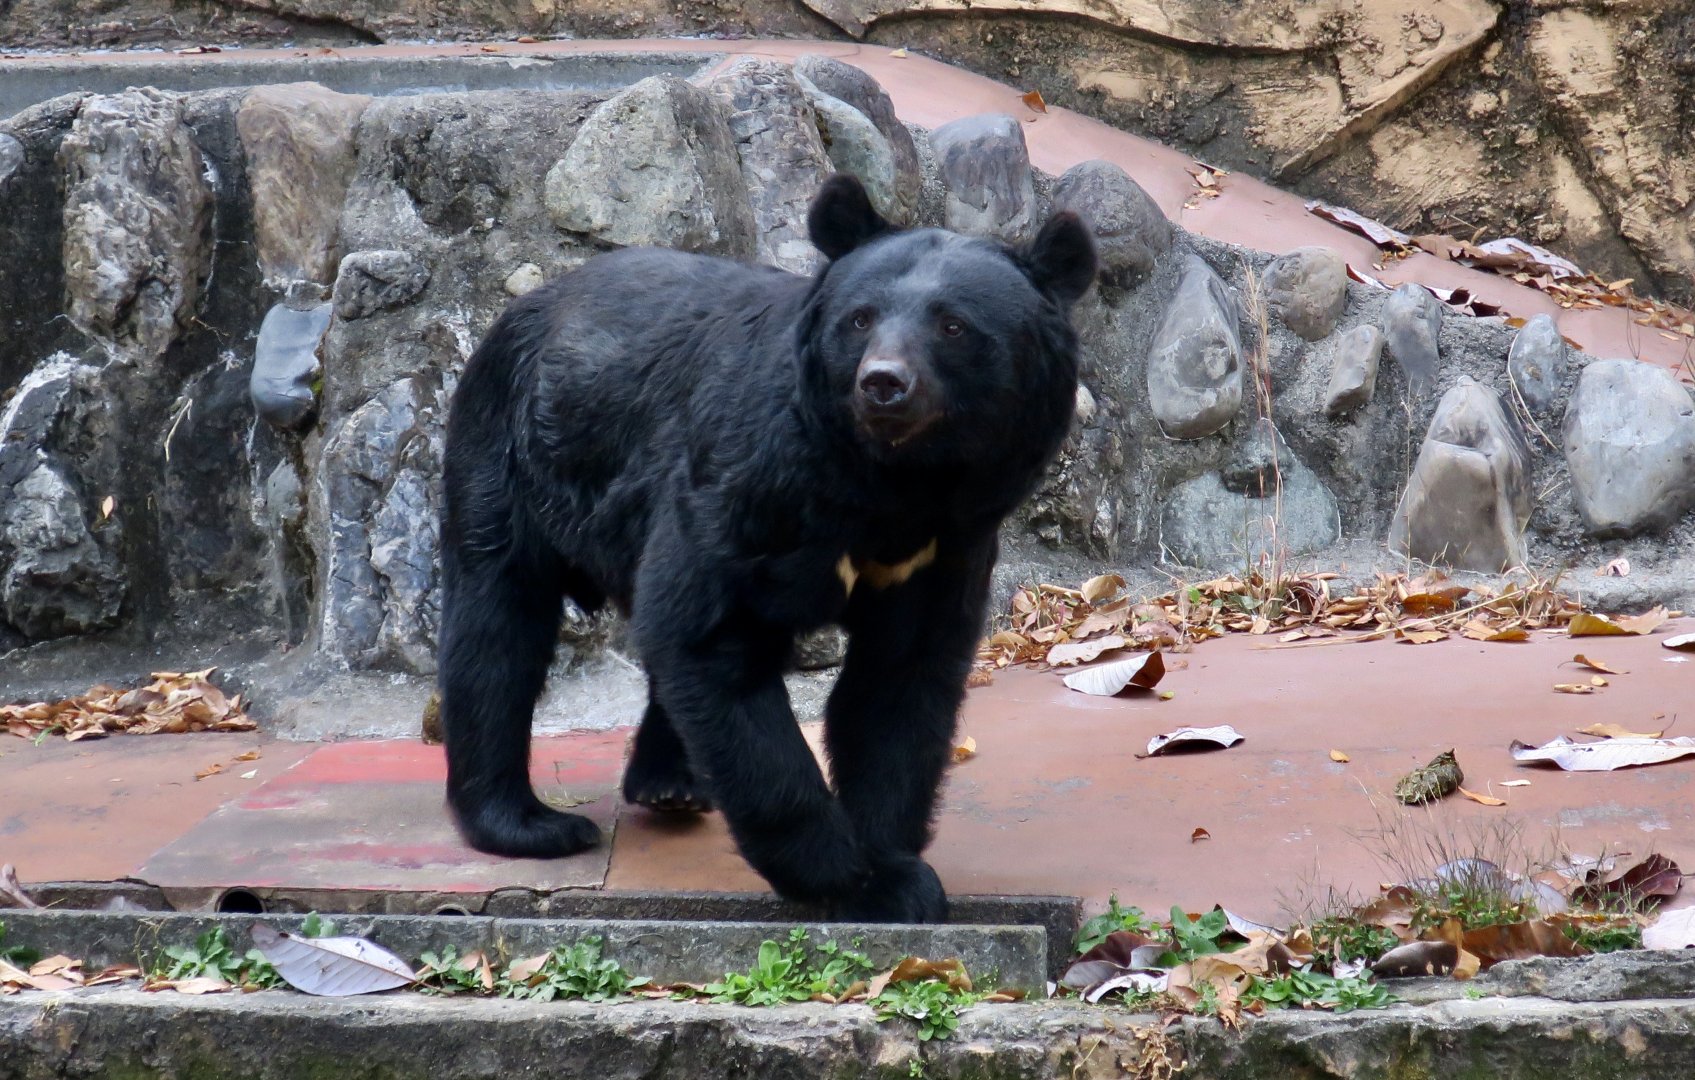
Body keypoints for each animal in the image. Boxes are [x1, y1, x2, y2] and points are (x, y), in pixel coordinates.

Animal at [438, 174, 1096, 922]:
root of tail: (527, 303)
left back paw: (670, 782)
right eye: (860, 319)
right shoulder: (752, 484)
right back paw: (527, 822)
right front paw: (845, 876)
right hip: (512, 454)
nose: (883, 383)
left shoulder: (946, 543)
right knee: (498, 627)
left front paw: (895, 873)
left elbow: (901, 681)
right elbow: (712, 640)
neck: (895, 482)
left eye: (953, 326)